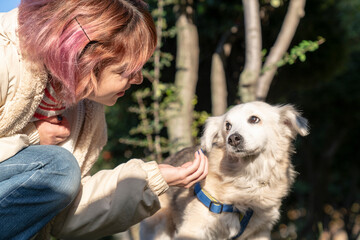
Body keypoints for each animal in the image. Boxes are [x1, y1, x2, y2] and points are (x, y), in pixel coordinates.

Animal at [139, 101, 308, 240]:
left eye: (254, 119)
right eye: (227, 126)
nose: (232, 139)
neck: (247, 178)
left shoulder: (259, 231)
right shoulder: (193, 229)